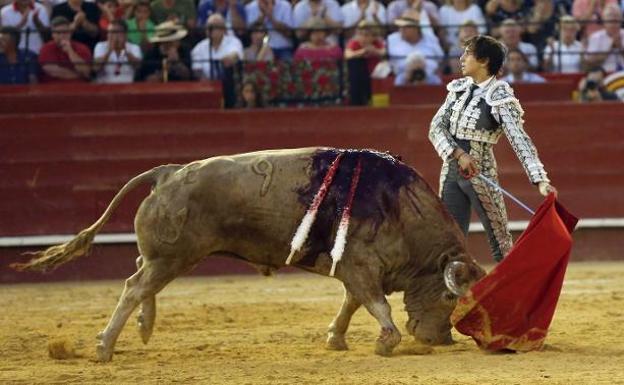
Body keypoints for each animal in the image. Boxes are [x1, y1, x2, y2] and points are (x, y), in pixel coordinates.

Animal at [13, 146, 482, 360]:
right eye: (448, 296)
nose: (441, 339)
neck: (401, 209)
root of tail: (167, 173)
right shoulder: (361, 266)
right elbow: (376, 305)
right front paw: (387, 341)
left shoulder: (354, 269)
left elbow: (351, 304)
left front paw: (336, 338)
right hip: (174, 256)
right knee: (133, 287)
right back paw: (105, 346)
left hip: (168, 256)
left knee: (139, 278)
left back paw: (143, 328)